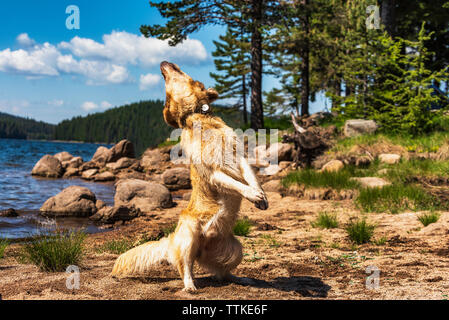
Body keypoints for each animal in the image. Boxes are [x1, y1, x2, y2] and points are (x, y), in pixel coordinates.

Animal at [110, 60, 268, 292]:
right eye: (166, 93)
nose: (163, 63)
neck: (199, 116)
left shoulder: (239, 156)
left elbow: (251, 177)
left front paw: (261, 196)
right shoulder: (212, 172)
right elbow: (236, 183)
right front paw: (252, 194)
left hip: (237, 249)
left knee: (222, 273)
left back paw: (239, 278)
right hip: (190, 234)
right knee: (186, 267)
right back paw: (190, 285)